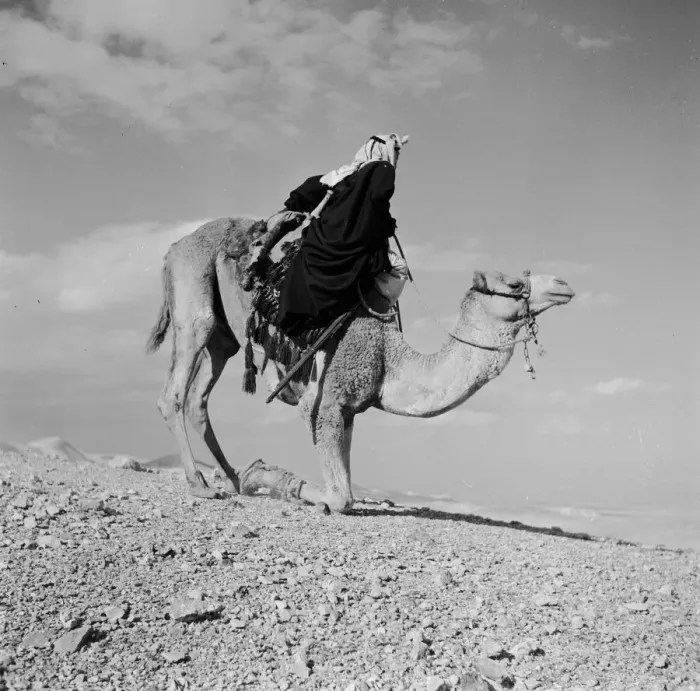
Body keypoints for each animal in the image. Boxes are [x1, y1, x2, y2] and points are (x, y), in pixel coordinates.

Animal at [145, 216, 575, 511]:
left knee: (200, 395)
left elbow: (348, 483)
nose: (564, 285)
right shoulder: (325, 402)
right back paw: (201, 484)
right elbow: (341, 498)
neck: (389, 357)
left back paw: (232, 478)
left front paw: (253, 475)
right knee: (175, 390)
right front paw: (268, 477)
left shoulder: (349, 410)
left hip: (225, 338)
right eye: (515, 285)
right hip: (194, 291)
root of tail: (174, 246)